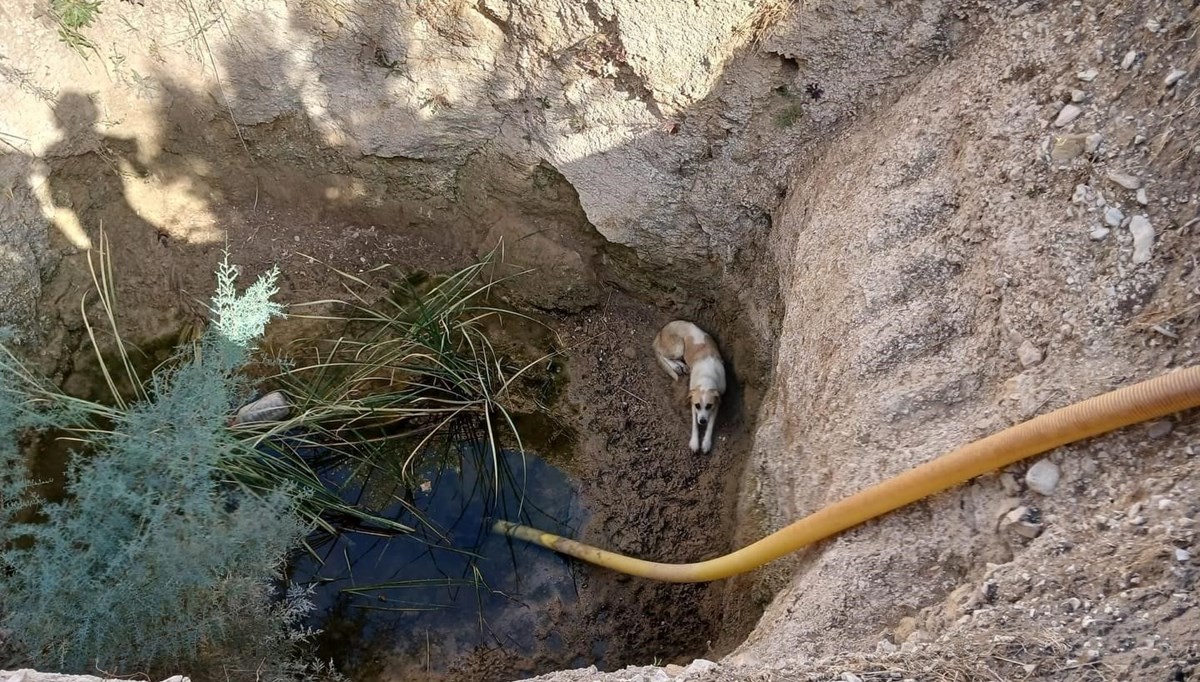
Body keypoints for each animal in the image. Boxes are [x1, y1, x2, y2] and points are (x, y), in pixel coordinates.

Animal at [652, 319, 724, 453]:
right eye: (697, 405)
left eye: (709, 406)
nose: (702, 421)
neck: (706, 377)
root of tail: (662, 330)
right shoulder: (692, 402)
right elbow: (694, 425)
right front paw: (694, 442)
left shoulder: (716, 403)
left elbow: (710, 425)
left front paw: (706, 443)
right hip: (679, 347)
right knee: (662, 354)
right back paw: (676, 366)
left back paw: (682, 365)